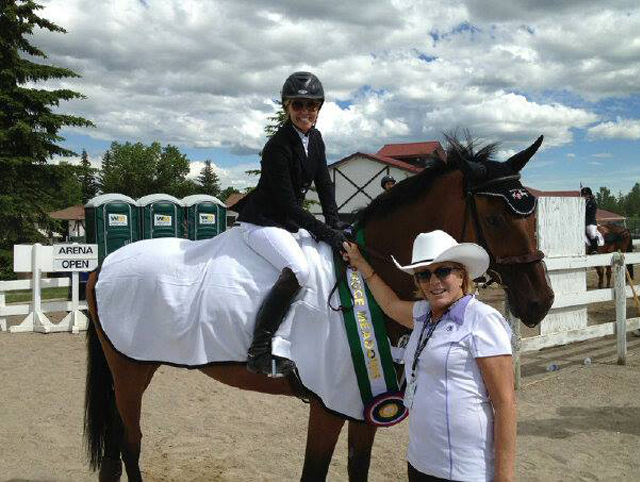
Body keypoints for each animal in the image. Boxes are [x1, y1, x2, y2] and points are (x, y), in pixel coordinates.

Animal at [84, 133, 556, 482]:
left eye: (533, 217)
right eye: (494, 219)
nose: (541, 301)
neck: (369, 283)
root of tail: (104, 263)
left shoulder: (368, 404)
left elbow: (357, 469)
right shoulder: (330, 405)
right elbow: (314, 473)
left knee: (114, 452)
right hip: (130, 370)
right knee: (130, 444)